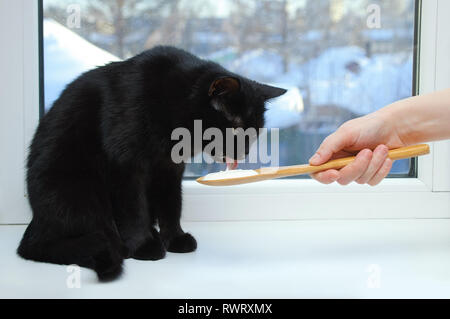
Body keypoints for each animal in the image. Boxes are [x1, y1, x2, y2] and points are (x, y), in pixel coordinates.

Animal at [18, 46, 284, 282]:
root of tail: (36, 224)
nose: (244, 152)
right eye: (236, 128)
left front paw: (175, 238)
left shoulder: (169, 168)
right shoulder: (126, 163)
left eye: (255, 131)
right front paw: (143, 245)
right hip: (81, 188)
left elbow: (171, 204)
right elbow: (134, 209)